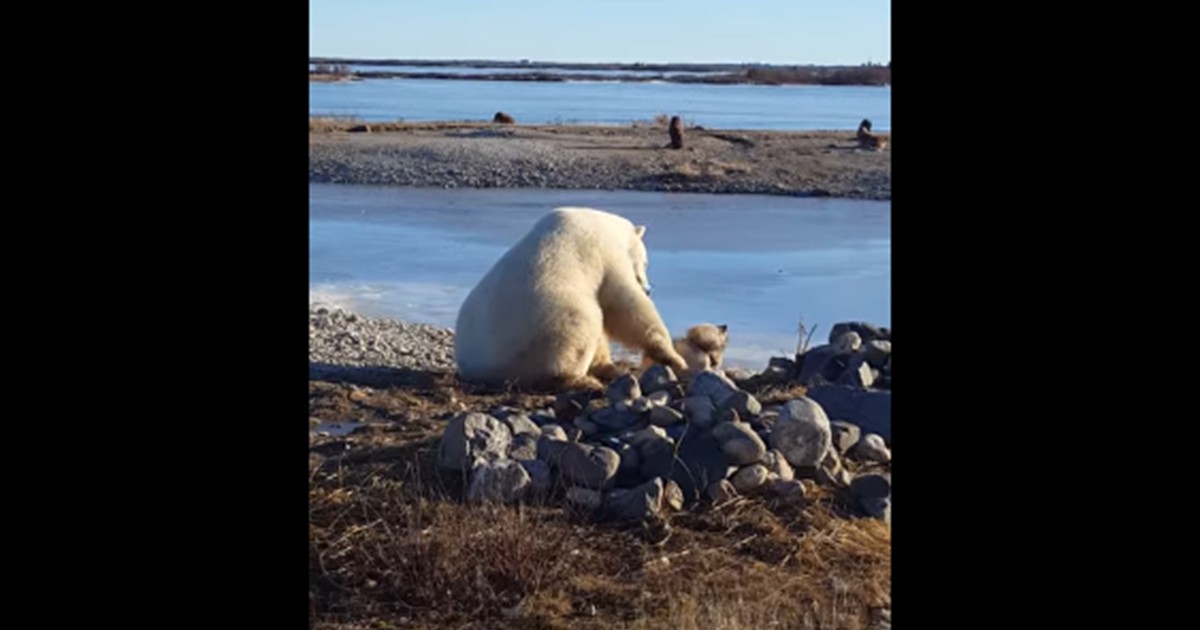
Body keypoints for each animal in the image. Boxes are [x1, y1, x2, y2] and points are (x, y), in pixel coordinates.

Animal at [454, 207, 689, 391]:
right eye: (647, 262)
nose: (648, 288)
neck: (606, 226)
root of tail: (484, 370)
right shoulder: (606, 256)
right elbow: (624, 305)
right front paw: (674, 357)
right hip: (544, 326)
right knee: (582, 326)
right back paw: (581, 380)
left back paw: (611, 369)